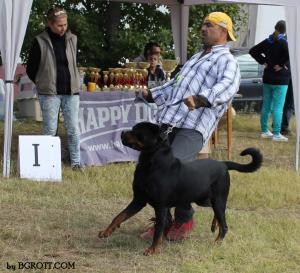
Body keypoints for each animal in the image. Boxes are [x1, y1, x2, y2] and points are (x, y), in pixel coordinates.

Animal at [98, 122, 262, 254]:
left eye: (138, 131)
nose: (121, 133)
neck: (150, 164)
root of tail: (223, 164)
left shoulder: (161, 206)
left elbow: (158, 231)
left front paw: (153, 250)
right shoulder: (138, 200)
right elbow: (119, 215)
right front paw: (106, 231)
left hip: (218, 199)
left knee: (225, 224)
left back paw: (217, 242)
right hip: (204, 199)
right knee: (218, 214)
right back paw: (214, 225)